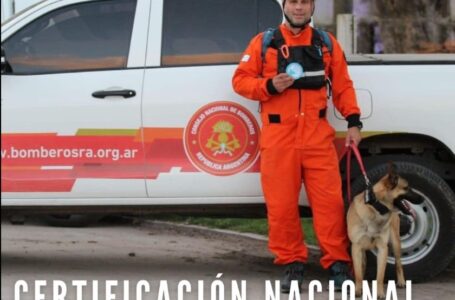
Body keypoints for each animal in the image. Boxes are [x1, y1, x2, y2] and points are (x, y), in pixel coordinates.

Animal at [348, 163, 426, 298]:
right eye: (406, 188)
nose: (423, 199)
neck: (376, 208)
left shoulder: (382, 248)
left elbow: (380, 275)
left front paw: (380, 293)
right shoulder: (356, 247)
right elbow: (358, 273)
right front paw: (358, 290)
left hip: (395, 243)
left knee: (398, 263)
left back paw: (401, 281)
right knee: (363, 266)